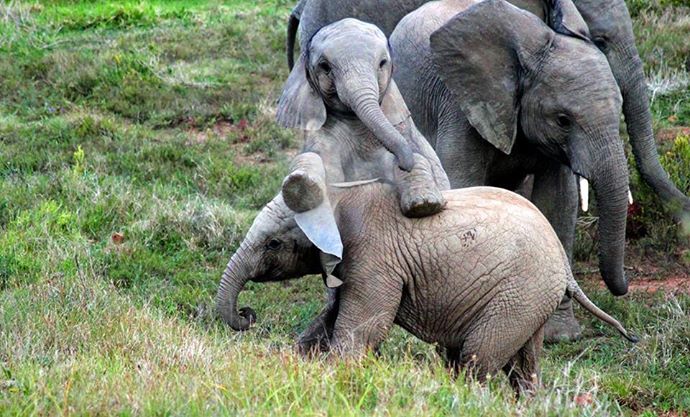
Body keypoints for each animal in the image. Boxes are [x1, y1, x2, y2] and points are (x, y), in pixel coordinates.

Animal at [216, 152, 636, 394]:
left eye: (272, 244)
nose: (248, 316)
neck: (337, 195)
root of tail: (565, 267)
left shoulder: (374, 258)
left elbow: (362, 329)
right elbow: (328, 319)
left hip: (519, 293)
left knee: (477, 358)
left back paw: (467, 399)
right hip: (532, 296)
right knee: (523, 364)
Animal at [276, 17, 452, 216]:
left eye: (382, 63)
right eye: (325, 67)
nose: (404, 164)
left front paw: (424, 205)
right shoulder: (322, 137)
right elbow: (329, 172)